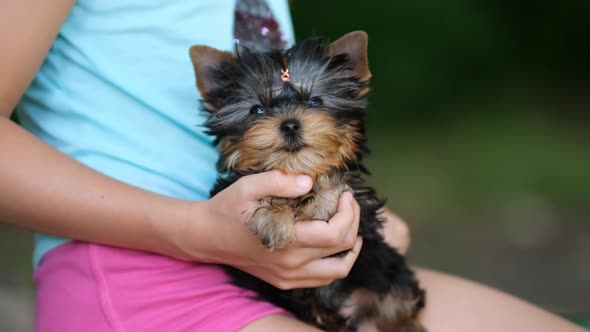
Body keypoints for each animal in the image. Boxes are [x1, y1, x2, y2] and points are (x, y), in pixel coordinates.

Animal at [190, 31, 426, 332]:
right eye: (257, 110)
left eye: (315, 102)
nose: (290, 124)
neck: (298, 170)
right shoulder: (229, 189)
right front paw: (274, 219)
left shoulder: (363, 214)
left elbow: (336, 183)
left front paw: (318, 198)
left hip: (388, 275)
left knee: (399, 303)